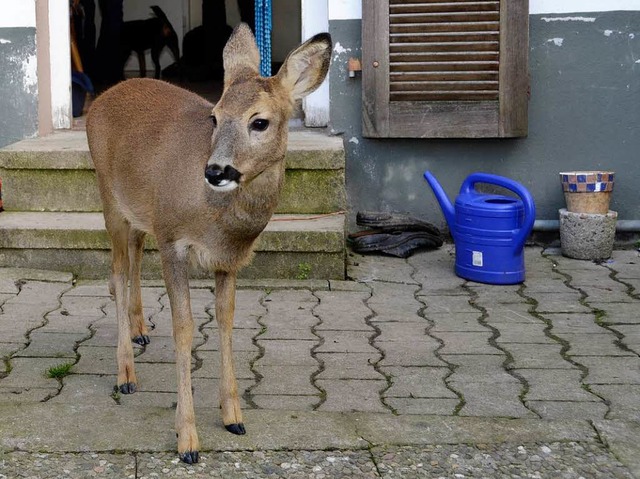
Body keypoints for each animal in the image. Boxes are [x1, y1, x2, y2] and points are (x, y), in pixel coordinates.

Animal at [84, 24, 330, 464]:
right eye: (214, 116)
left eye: (260, 122)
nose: (215, 171)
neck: (218, 221)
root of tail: (102, 99)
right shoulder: (172, 241)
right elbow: (184, 329)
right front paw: (187, 439)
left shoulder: (228, 260)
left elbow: (226, 321)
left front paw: (233, 415)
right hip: (109, 197)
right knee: (117, 273)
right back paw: (126, 373)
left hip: (140, 212)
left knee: (132, 260)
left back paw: (139, 328)